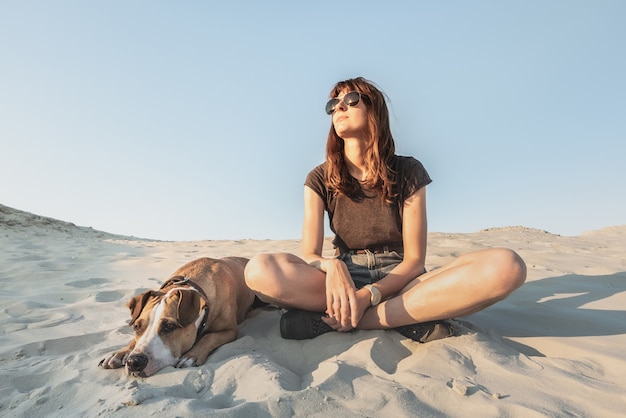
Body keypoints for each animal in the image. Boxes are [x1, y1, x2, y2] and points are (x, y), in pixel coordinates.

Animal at [98, 256, 255, 378]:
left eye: (169, 327)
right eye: (137, 327)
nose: (134, 362)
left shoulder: (230, 330)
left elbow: (208, 337)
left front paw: (191, 356)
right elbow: (134, 342)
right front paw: (120, 353)